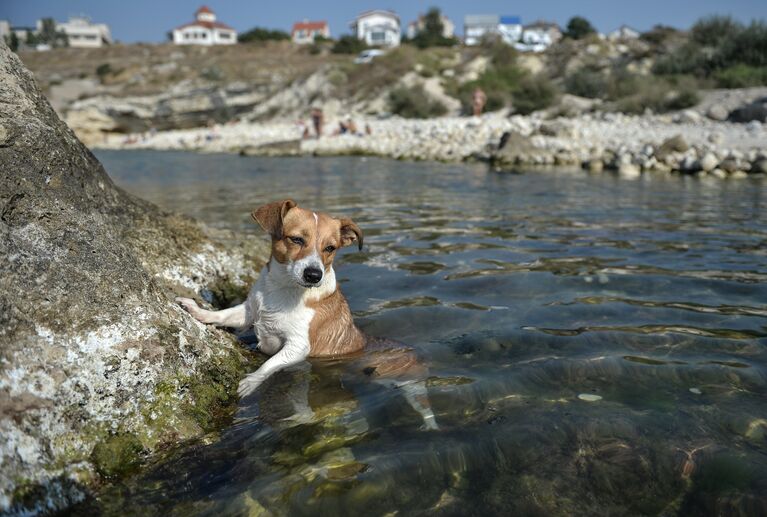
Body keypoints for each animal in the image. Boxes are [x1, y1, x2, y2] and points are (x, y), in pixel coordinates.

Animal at [175, 200, 438, 430]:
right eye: (297, 239)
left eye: (330, 248)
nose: (314, 274)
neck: (284, 291)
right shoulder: (248, 313)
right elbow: (223, 315)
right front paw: (197, 310)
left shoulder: (298, 346)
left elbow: (270, 365)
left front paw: (251, 382)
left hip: (410, 384)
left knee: (424, 405)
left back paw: (431, 426)